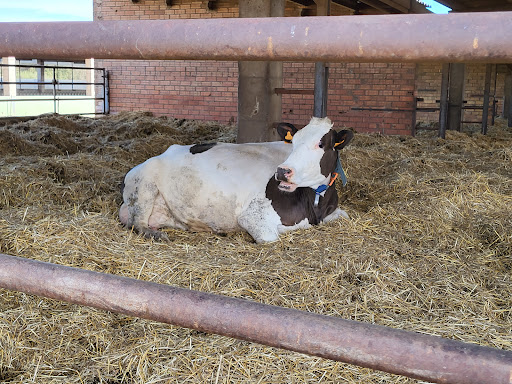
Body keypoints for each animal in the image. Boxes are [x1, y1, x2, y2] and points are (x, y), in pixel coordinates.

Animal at [119, 116, 352, 243]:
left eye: (321, 144)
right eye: (293, 142)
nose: (282, 171)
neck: (314, 205)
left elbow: (346, 216)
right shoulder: (254, 217)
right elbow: (270, 237)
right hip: (143, 186)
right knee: (137, 223)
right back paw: (156, 235)